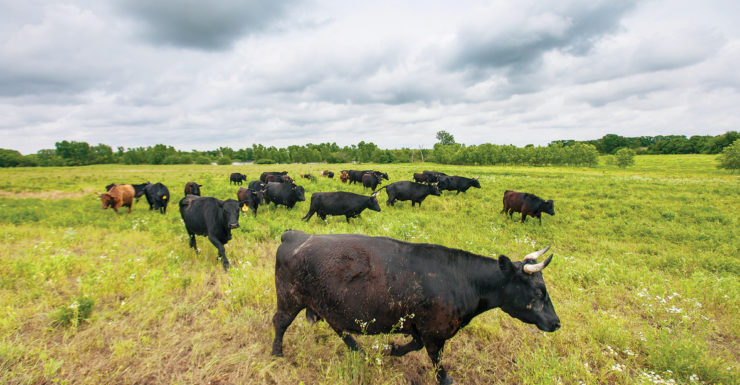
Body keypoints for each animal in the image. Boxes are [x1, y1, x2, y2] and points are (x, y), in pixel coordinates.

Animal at [272, 231, 560, 384]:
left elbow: (413, 345)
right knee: (279, 323)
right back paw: (277, 354)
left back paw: (360, 352)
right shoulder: (435, 334)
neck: (463, 280)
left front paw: (390, 350)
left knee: (339, 328)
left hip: (327, 305)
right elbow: (437, 363)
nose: (556, 322)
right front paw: (446, 378)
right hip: (289, 299)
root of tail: (296, 235)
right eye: (539, 292)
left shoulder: (419, 327)